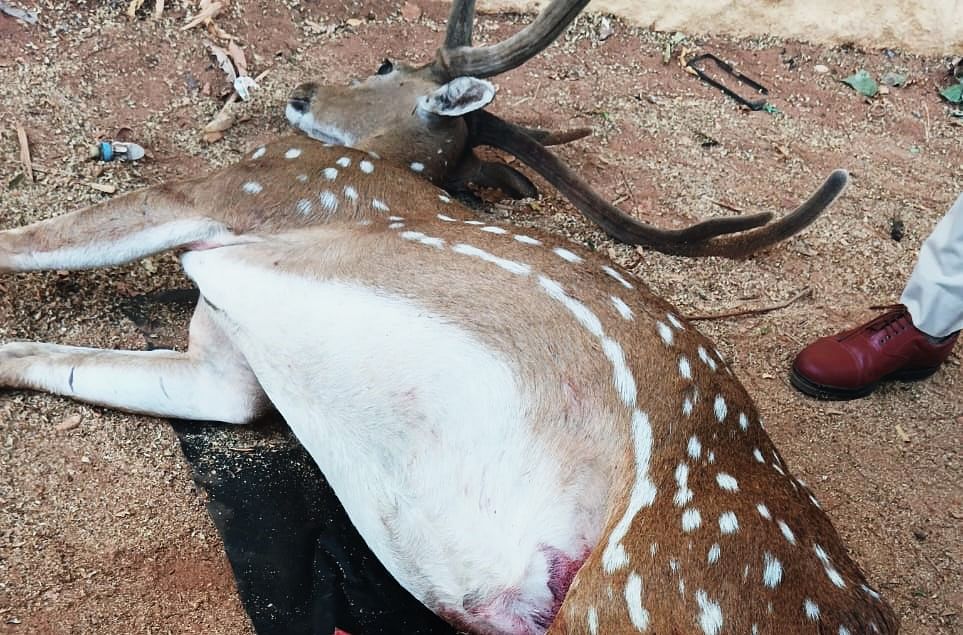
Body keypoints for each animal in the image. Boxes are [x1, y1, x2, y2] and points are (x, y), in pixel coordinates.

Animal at [0, 1, 896, 635]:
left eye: (385, 61)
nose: (301, 89)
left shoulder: (239, 190)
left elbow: (25, 241)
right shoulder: (228, 372)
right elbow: (48, 355)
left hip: (636, 592)